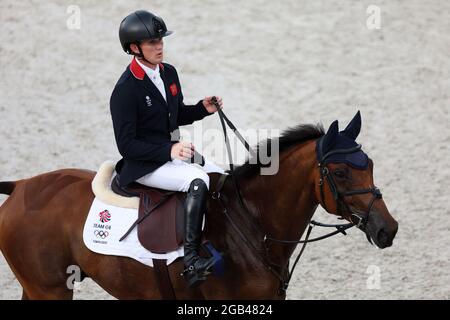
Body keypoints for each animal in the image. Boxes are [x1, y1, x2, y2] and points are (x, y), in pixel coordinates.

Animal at [0, 111, 398, 298]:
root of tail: (19, 187)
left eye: (370, 165)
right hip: (50, 289)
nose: (388, 229)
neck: (252, 226)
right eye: (341, 173)